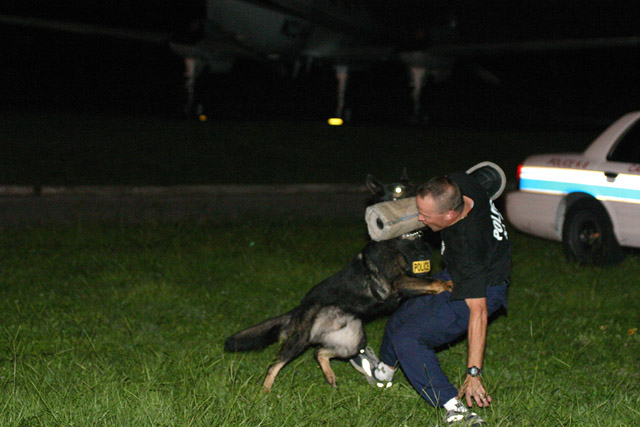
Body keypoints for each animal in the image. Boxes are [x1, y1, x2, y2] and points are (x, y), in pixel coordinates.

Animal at [222, 173, 452, 392]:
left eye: (412, 184)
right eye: (399, 190)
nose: (421, 190)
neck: (404, 240)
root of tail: (301, 307)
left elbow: (427, 282)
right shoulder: (397, 282)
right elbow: (432, 282)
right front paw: (447, 286)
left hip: (353, 341)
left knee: (319, 352)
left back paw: (330, 376)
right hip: (300, 340)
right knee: (275, 364)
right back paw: (265, 391)